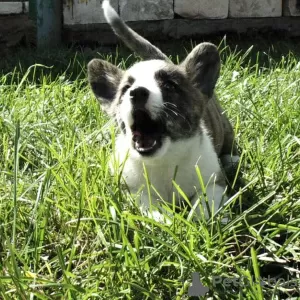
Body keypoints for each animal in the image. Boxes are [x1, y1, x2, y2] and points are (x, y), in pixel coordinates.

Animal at [86, 0, 239, 220]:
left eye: (169, 86)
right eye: (126, 89)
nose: (137, 93)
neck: (163, 159)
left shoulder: (214, 183)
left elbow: (204, 202)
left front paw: (203, 219)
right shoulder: (133, 191)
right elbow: (151, 207)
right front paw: (165, 220)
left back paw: (232, 159)